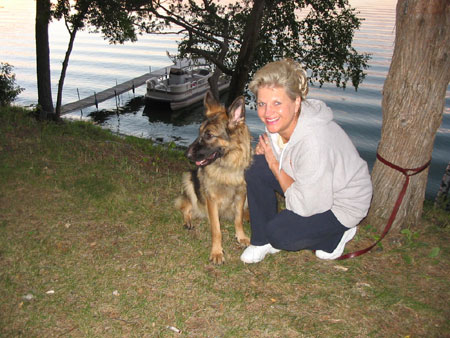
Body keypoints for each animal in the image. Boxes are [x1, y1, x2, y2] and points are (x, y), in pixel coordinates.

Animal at [176, 90, 253, 264]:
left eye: (209, 135)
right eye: (199, 132)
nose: (186, 154)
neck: (227, 168)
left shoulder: (241, 196)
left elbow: (238, 219)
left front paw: (241, 236)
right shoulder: (212, 200)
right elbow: (216, 229)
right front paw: (217, 252)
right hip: (188, 179)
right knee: (185, 206)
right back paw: (188, 220)